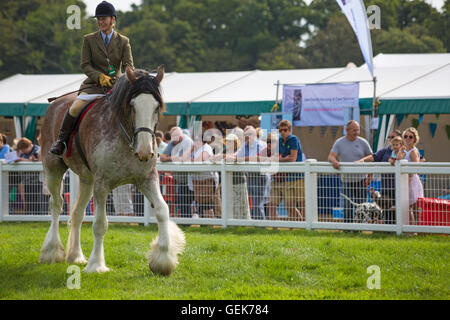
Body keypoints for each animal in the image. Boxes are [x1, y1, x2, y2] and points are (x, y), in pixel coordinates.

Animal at [39, 67, 185, 276]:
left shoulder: (147, 179)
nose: (145, 151)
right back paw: (51, 251)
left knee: (77, 213)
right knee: (56, 205)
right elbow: (100, 224)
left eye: (156, 107)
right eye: (132, 106)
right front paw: (96, 265)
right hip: (53, 169)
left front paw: (163, 260)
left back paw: (75, 255)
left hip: (87, 180)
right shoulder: (102, 185)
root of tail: (55, 104)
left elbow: (162, 210)